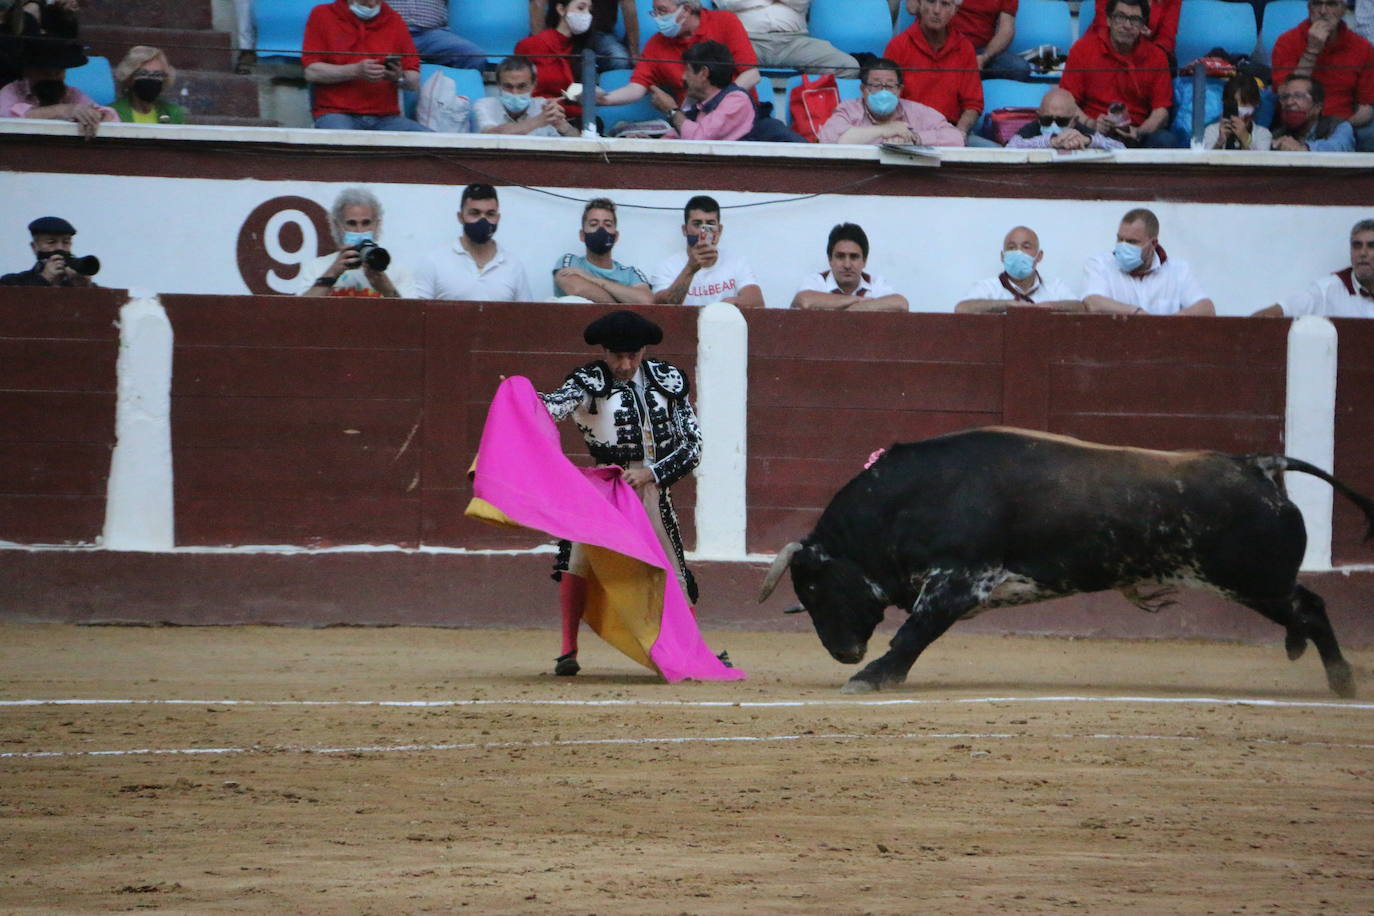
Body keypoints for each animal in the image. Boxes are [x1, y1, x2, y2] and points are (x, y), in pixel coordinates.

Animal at [763, 428, 1374, 694]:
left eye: (813, 588)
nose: (842, 652)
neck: (905, 503)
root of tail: (1258, 464)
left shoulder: (962, 580)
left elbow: (914, 632)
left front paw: (872, 677)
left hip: (1251, 579)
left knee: (1310, 606)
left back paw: (1342, 680)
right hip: (1253, 581)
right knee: (1304, 607)